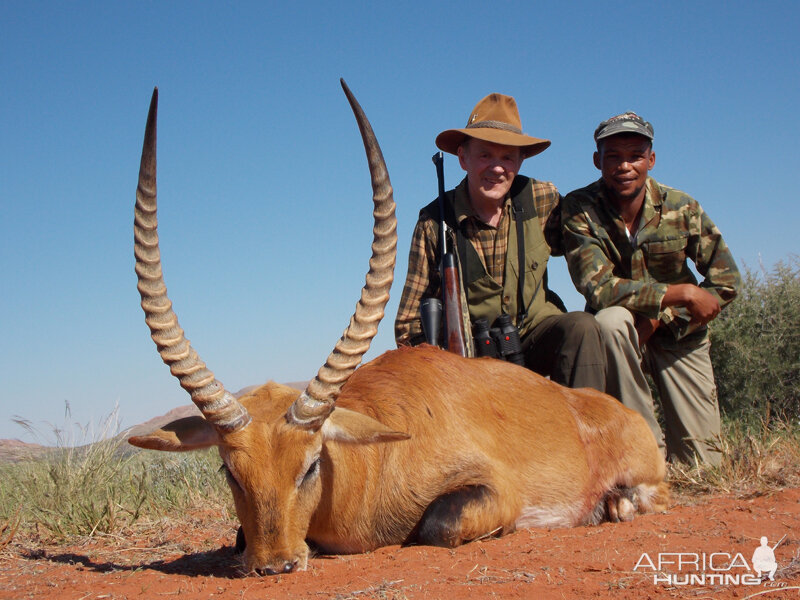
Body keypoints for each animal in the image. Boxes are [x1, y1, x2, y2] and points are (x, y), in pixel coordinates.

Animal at [131, 81, 668, 576]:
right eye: (230, 471)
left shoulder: (491, 491)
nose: (275, 566)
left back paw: (615, 504)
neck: (372, 464)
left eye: (310, 465)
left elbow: (436, 526)